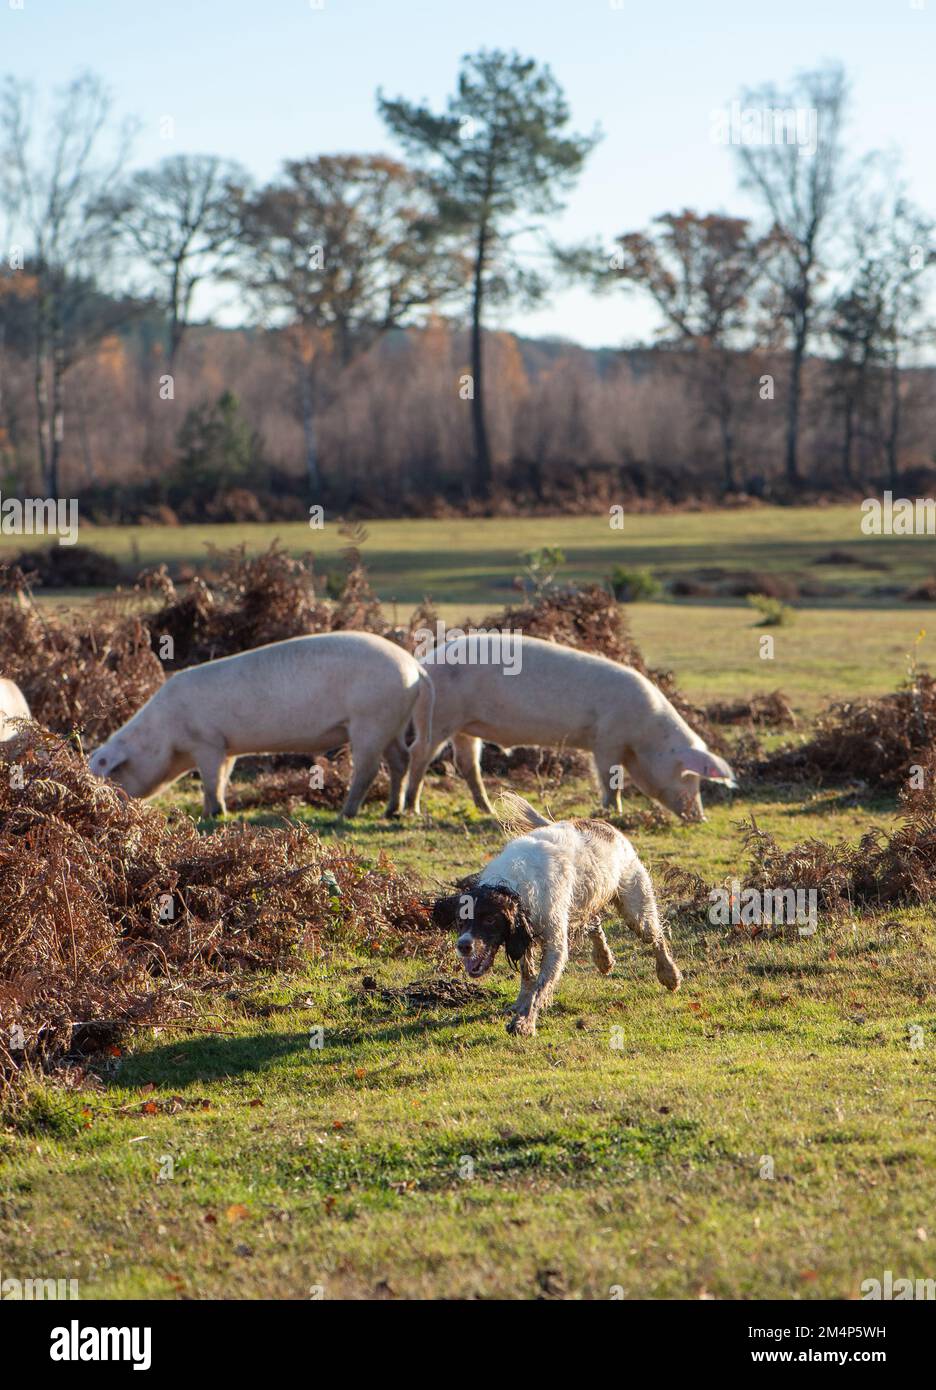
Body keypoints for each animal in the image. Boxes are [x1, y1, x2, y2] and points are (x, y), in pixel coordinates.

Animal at [89, 631, 433, 811]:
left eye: (115, 772)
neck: (163, 733)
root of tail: (413, 667)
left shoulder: (207, 741)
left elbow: (210, 780)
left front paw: (213, 814)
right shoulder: (226, 747)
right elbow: (223, 778)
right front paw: (217, 811)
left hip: (370, 720)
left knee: (369, 769)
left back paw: (345, 814)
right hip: (393, 723)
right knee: (401, 759)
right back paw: (392, 812)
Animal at [406, 636, 734, 817]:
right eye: (690, 776)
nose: (701, 817)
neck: (647, 737)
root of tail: (424, 664)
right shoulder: (607, 740)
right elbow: (609, 779)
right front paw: (612, 812)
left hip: (465, 726)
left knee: (467, 764)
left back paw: (487, 809)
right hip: (440, 716)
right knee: (419, 753)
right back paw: (411, 809)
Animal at [431, 795, 678, 1034]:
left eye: (490, 919)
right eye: (461, 921)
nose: (463, 946)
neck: (513, 885)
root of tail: (606, 825)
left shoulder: (554, 945)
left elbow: (540, 986)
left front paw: (524, 1022)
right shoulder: (526, 936)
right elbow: (528, 977)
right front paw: (520, 1005)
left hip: (636, 910)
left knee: (656, 936)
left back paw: (669, 974)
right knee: (594, 921)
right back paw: (603, 959)